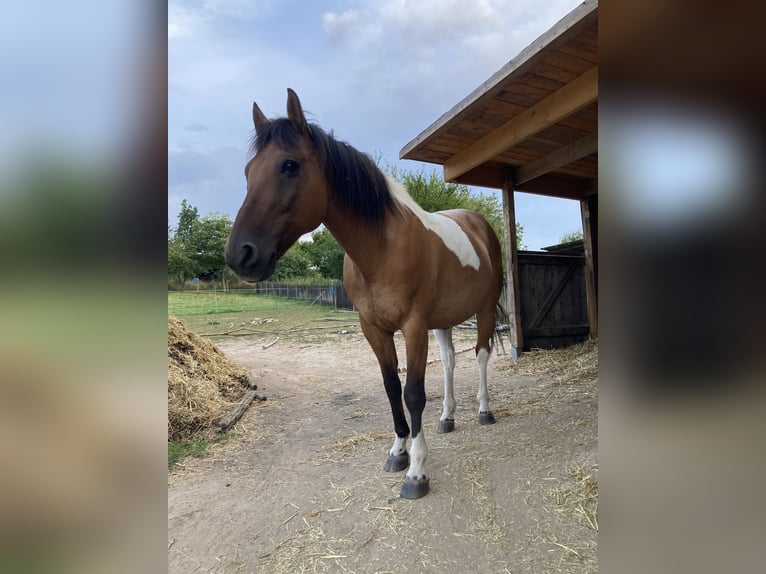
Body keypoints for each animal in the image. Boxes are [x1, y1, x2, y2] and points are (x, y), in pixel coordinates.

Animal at [226, 89, 504, 499]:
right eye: (247, 172)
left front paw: (417, 472)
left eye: (289, 166)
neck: (383, 249)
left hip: (482, 309)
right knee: (450, 361)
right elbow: (391, 387)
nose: (240, 255)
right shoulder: (373, 328)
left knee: (482, 355)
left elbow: (413, 392)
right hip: (444, 319)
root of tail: (477, 223)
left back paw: (485, 411)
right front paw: (398, 452)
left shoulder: (413, 326)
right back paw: (448, 417)